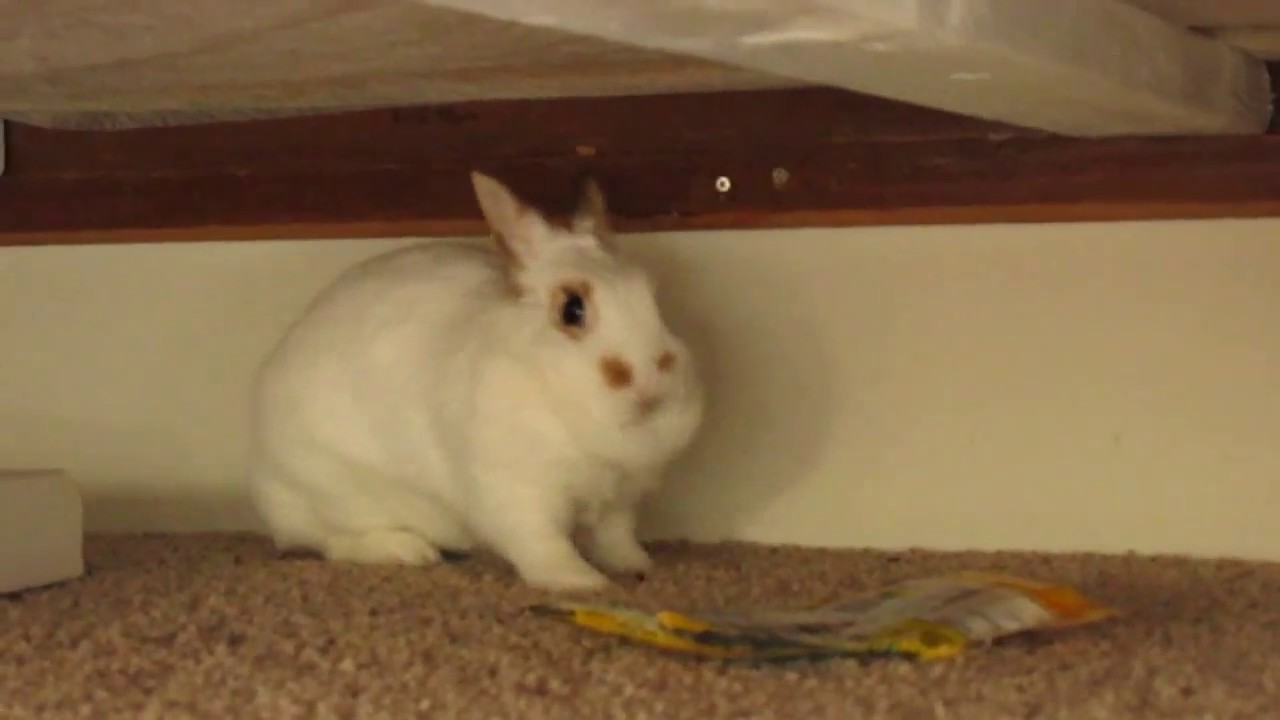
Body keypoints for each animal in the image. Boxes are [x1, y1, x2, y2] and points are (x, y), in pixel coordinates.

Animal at [246, 171, 705, 592]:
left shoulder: (620, 500)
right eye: (572, 309)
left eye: (653, 295)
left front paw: (639, 566)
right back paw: (410, 551)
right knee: (333, 543)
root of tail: (263, 476)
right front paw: (583, 583)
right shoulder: (517, 492)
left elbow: (616, 538)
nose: (652, 379)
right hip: (328, 492)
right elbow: (544, 546)